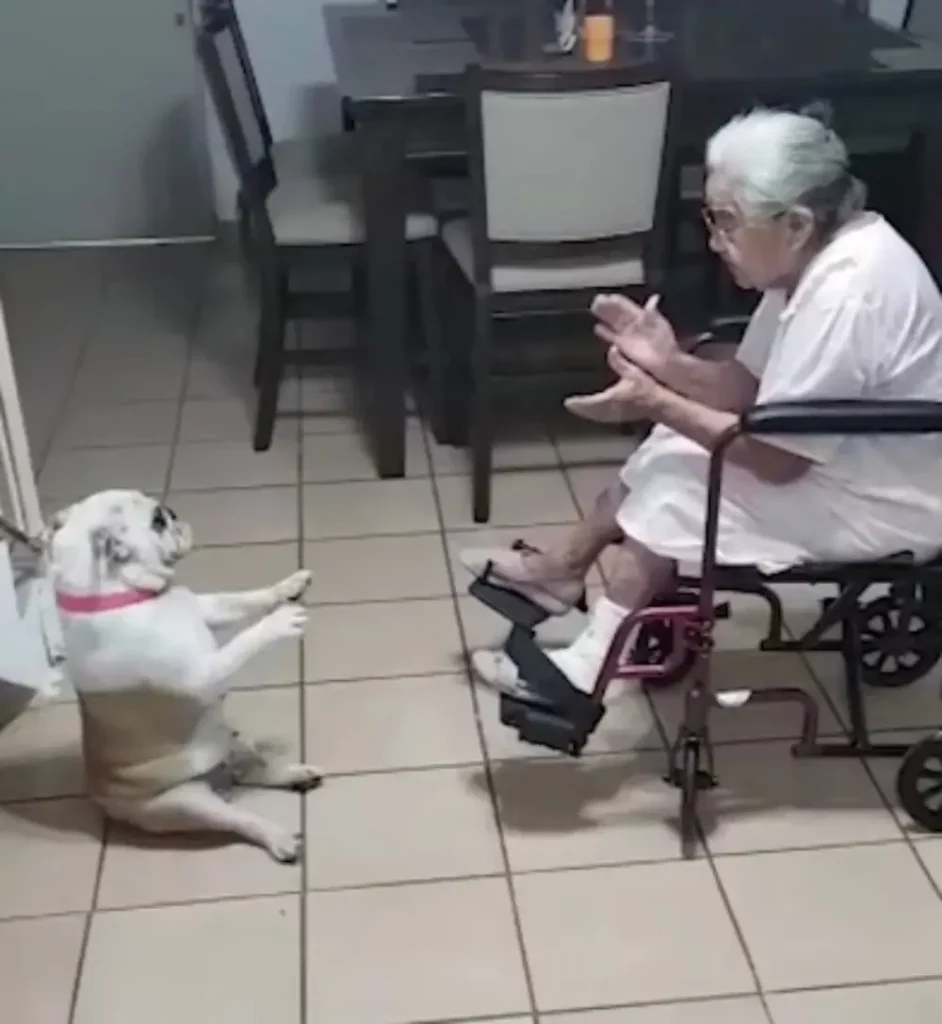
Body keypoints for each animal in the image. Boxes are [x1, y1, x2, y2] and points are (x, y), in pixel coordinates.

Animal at [46, 487, 319, 864]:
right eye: (157, 522)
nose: (171, 512)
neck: (124, 594)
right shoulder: (202, 676)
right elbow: (240, 643)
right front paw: (278, 622)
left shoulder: (207, 608)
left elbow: (239, 599)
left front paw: (286, 587)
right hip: (182, 804)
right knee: (239, 820)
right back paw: (277, 837)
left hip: (227, 738)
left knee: (254, 768)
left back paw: (293, 774)